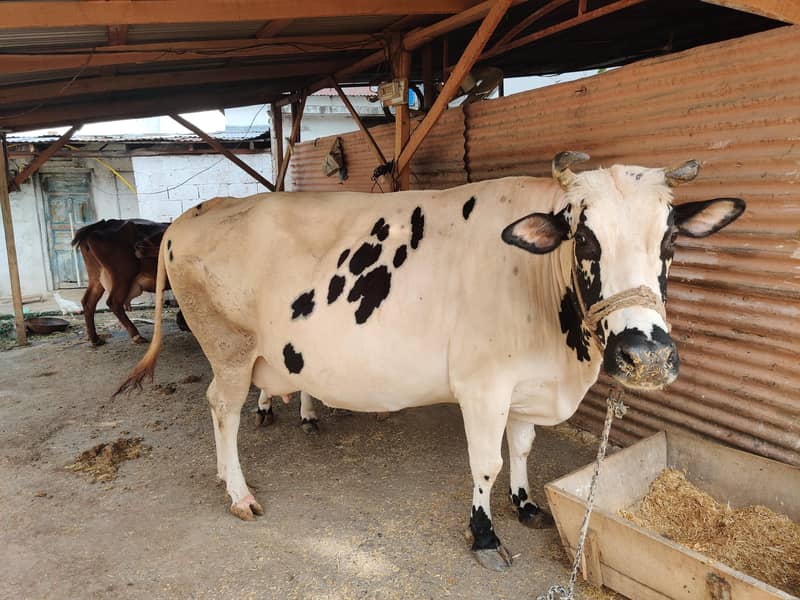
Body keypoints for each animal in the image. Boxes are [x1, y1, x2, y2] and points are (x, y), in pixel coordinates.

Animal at [117, 153, 745, 571]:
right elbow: (487, 462)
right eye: (585, 239)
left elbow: (522, 449)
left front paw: (525, 505)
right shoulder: (483, 385)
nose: (648, 356)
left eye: (669, 240)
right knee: (222, 409)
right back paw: (239, 492)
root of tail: (198, 211)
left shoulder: (527, 382)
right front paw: (484, 535)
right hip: (229, 349)